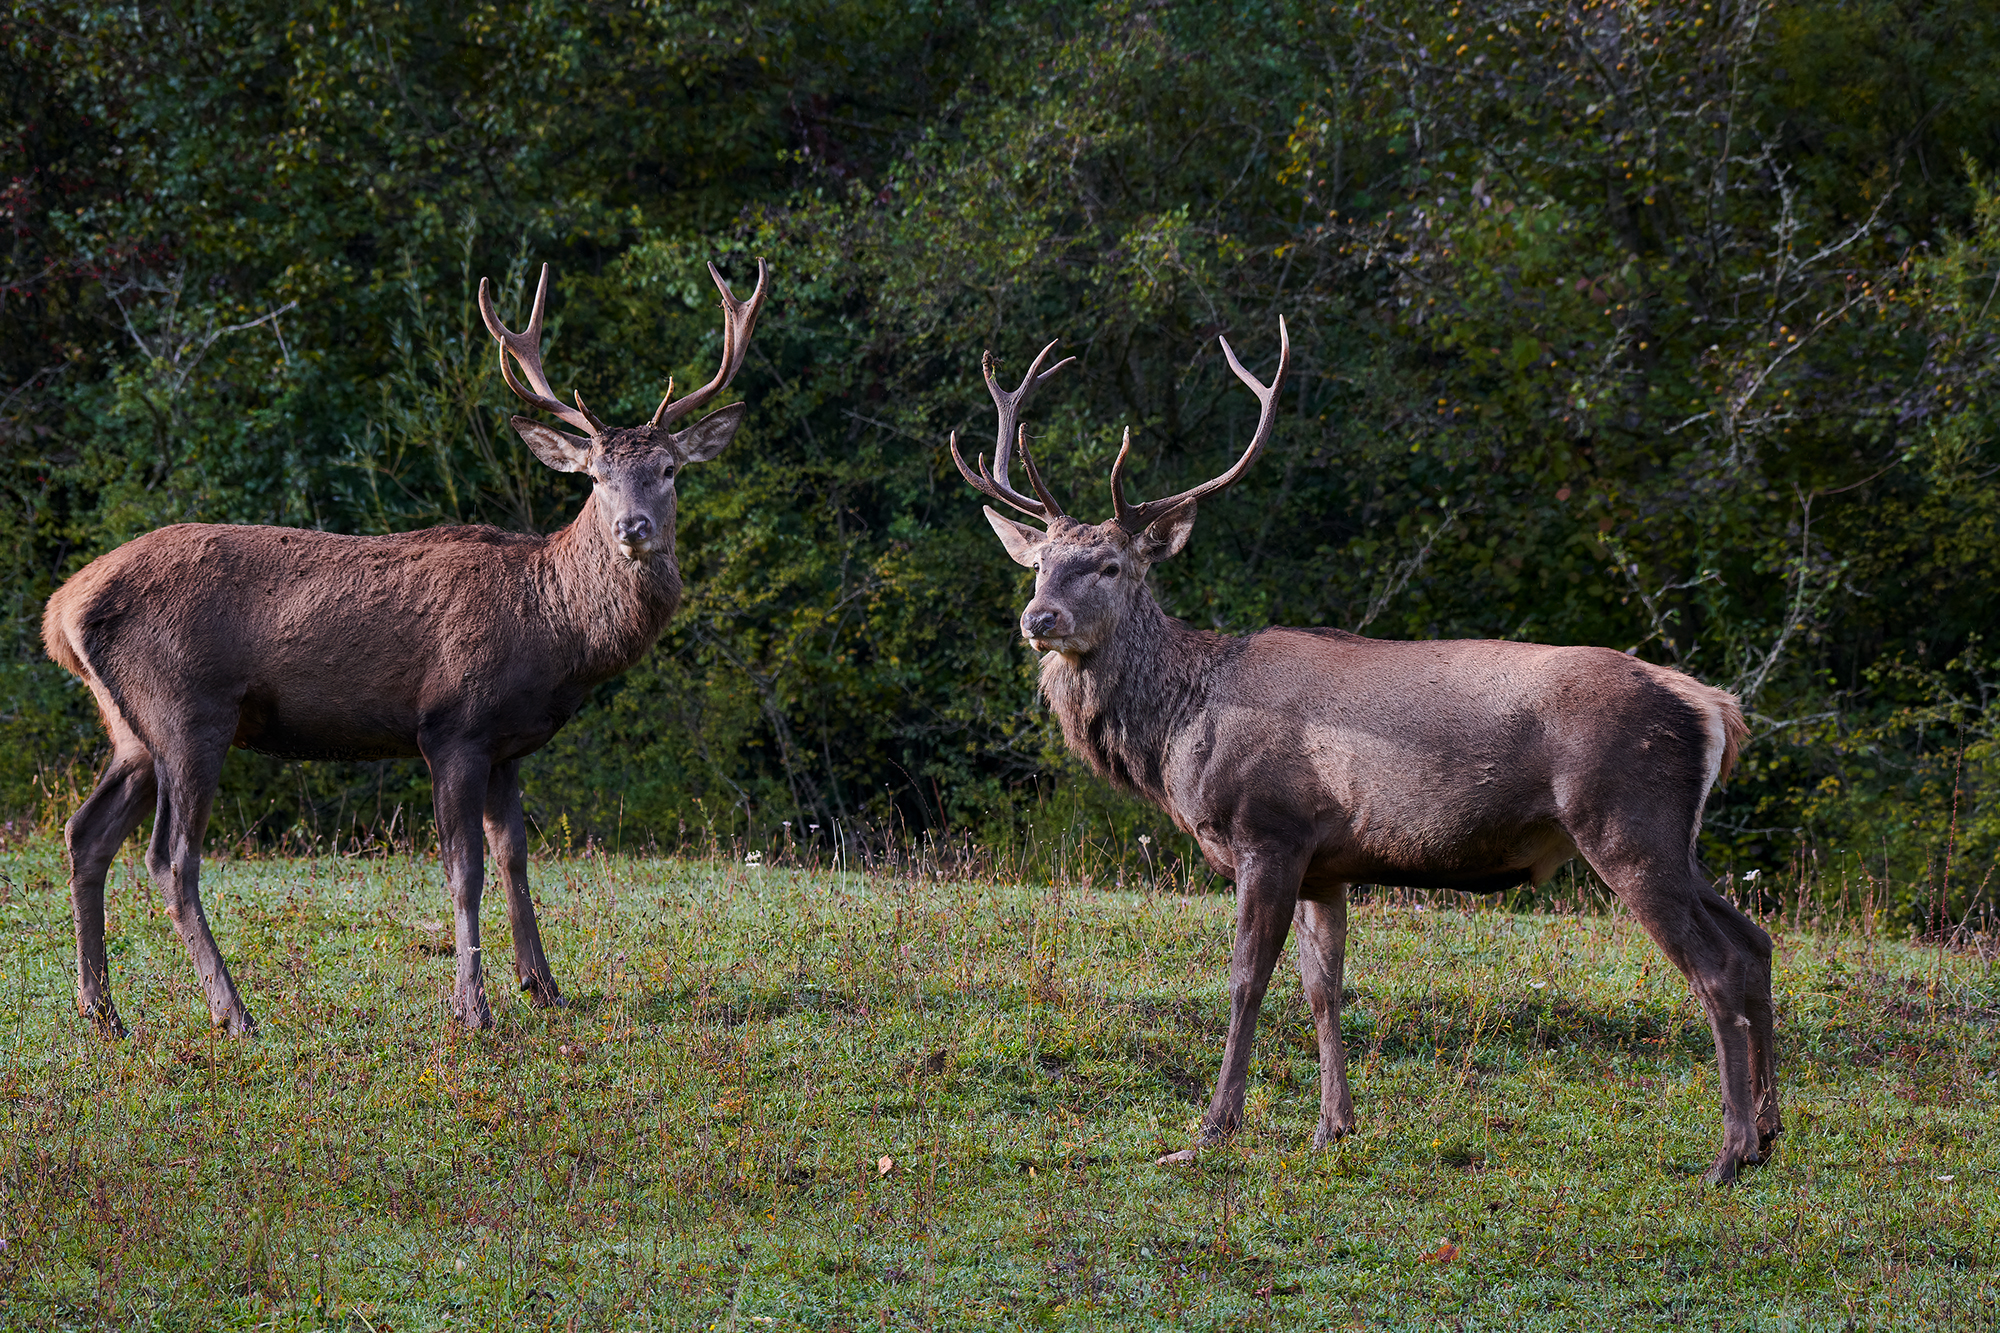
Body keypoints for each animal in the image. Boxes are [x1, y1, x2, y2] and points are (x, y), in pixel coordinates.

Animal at [43, 259, 766, 1037]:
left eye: (669, 470)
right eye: (595, 477)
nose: (633, 527)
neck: (551, 629)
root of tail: (61, 611)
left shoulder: (507, 744)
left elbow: (515, 857)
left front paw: (543, 986)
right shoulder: (451, 725)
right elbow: (464, 868)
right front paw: (472, 1007)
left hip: (131, 730)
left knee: (86, 833)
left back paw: (102, 1011)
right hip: (187, 709)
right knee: (170, 858)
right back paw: (232, 1011)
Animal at [952, 323, 1781, 1184]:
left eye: (1110, 565)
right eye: (1039, 563)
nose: (1040, 617)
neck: (1184, 726)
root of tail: (1713, 707)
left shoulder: (1268, 829)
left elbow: (1247, 978)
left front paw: (1212, 1127)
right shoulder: (1327, 861)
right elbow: (1325, 986)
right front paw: (1333, 1126)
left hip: (1625, 820)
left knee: (1715, 967)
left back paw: (1726, 1153)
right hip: (1670, 835)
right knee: (1756, 942)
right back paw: (1766, 1132)